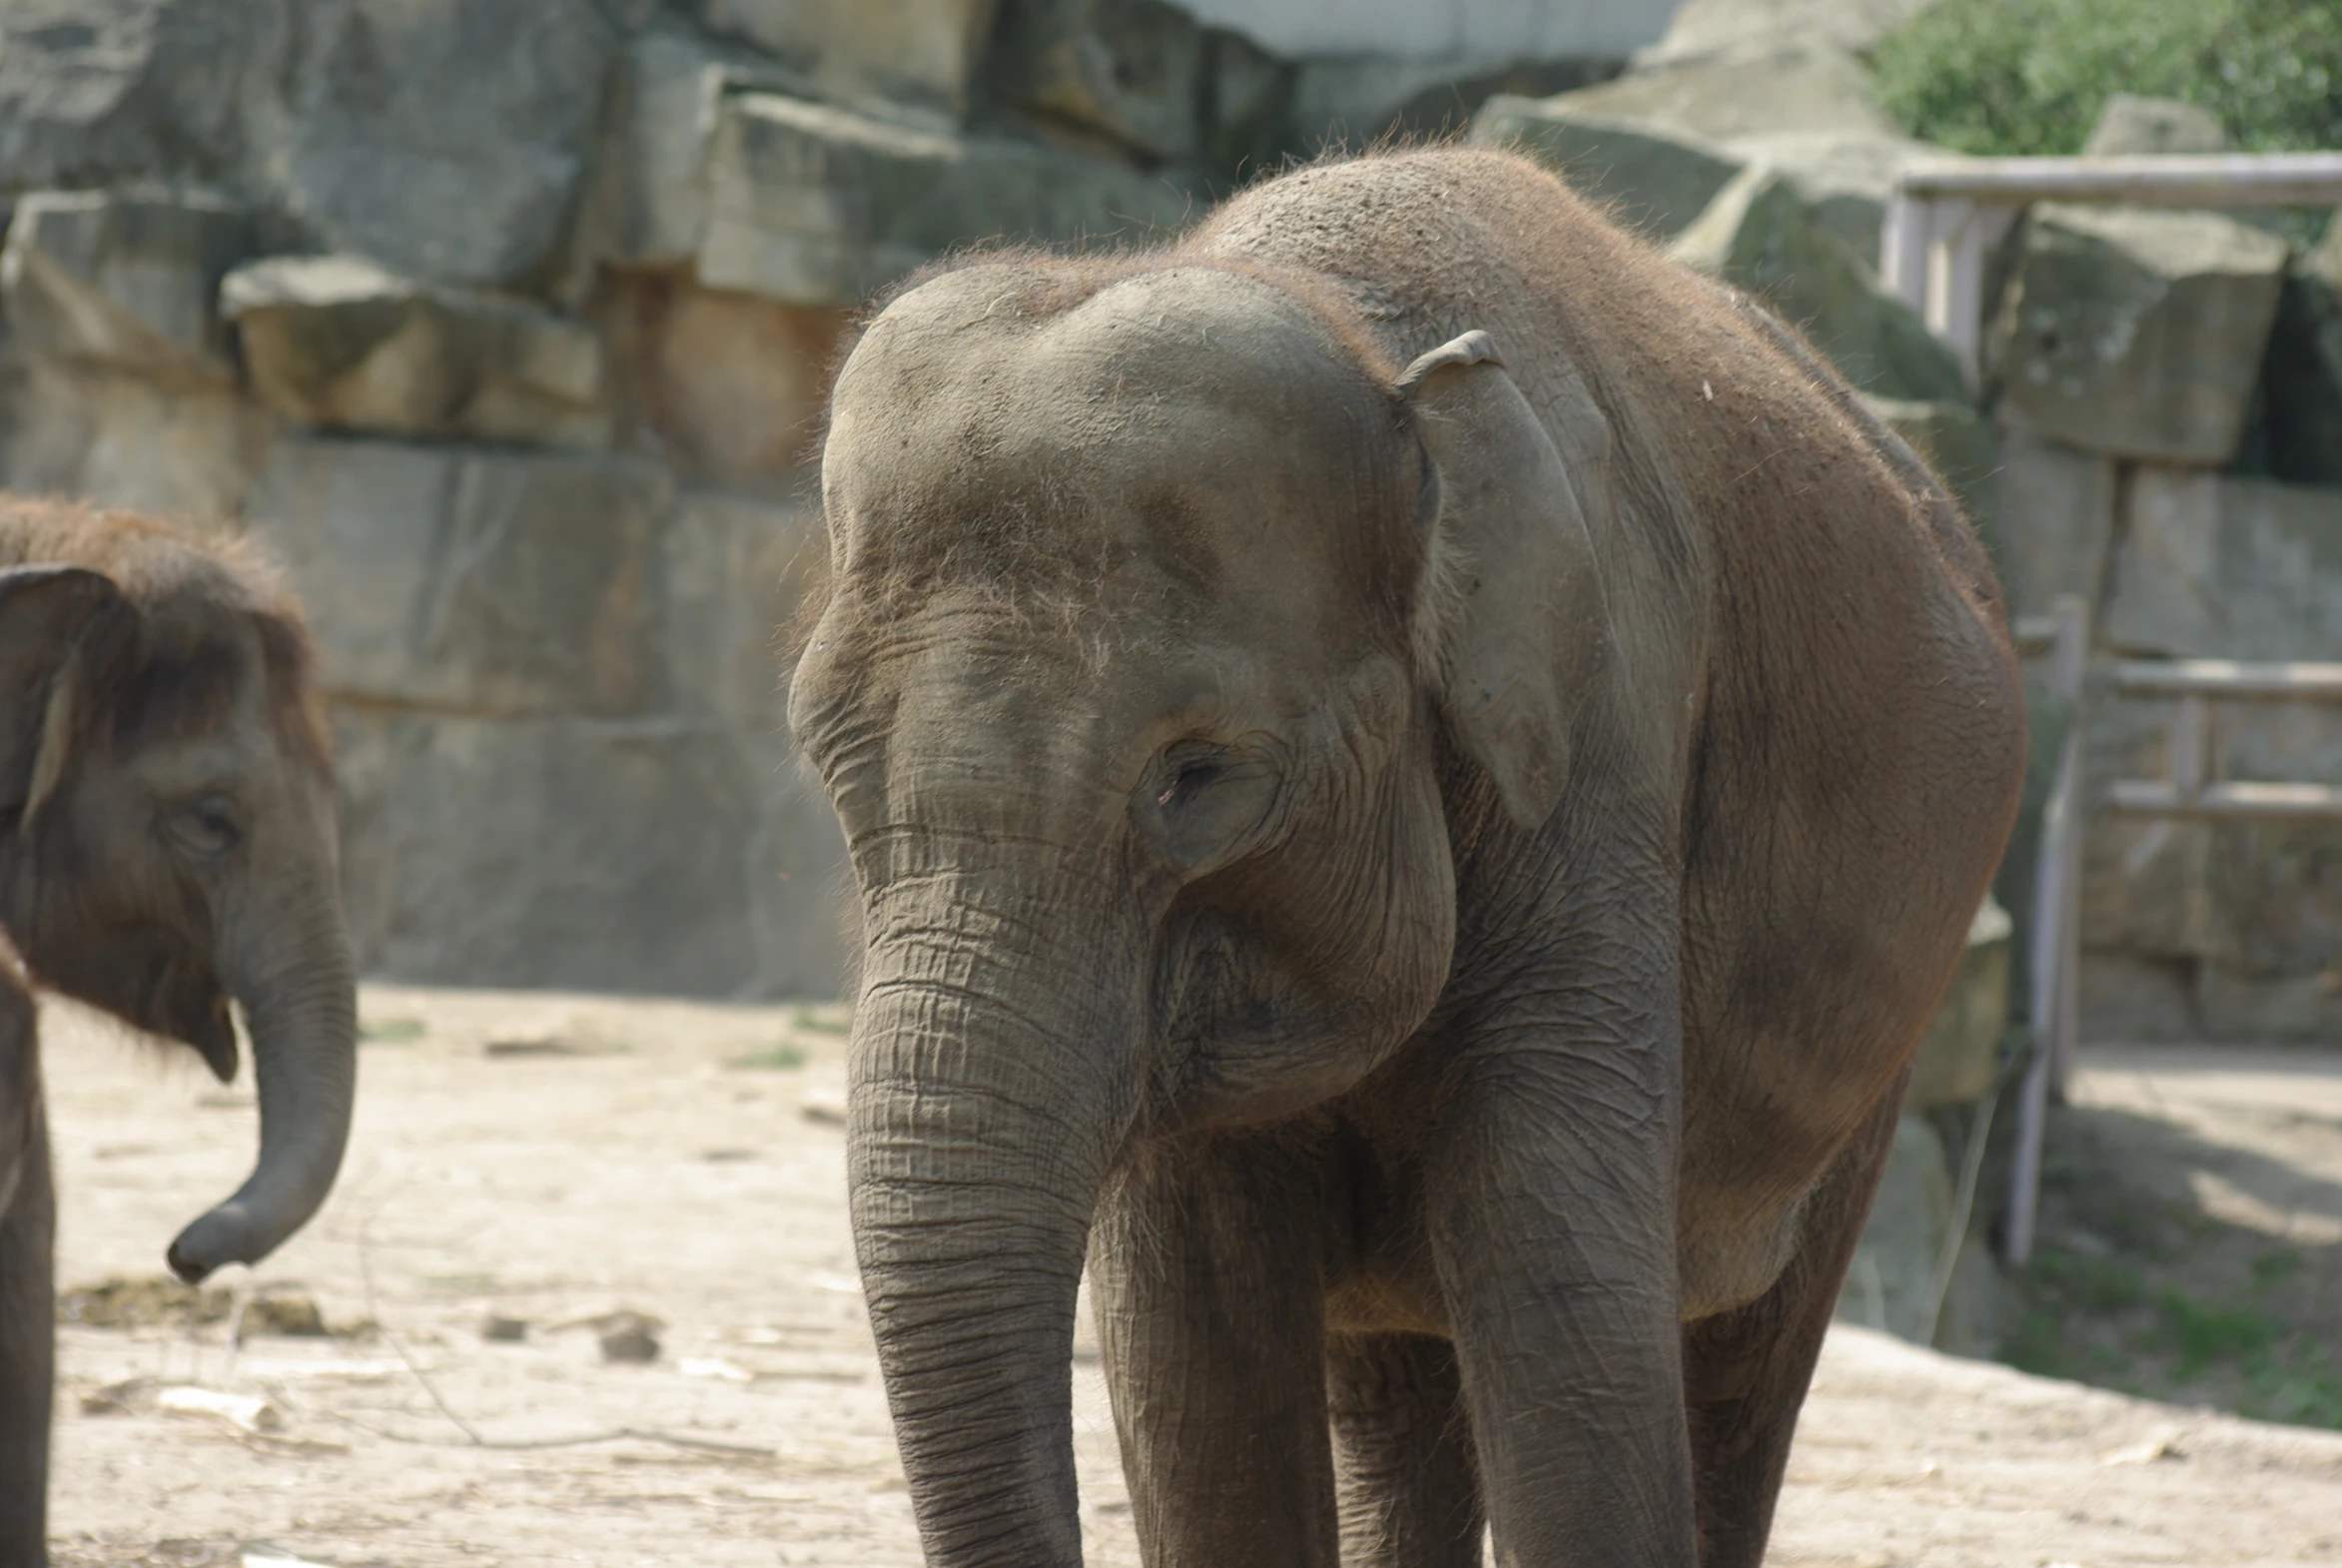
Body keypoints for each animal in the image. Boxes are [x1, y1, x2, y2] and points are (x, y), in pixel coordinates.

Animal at [791, 147, 2032, 1568]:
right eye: (825, 758)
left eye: (1195, 778)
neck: (1364, 344)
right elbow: (1195, 1365)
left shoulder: (1599, 754)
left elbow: (1558, 1290)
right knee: (1395, 1391)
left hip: (1878, 1044)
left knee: (1739, 1374)